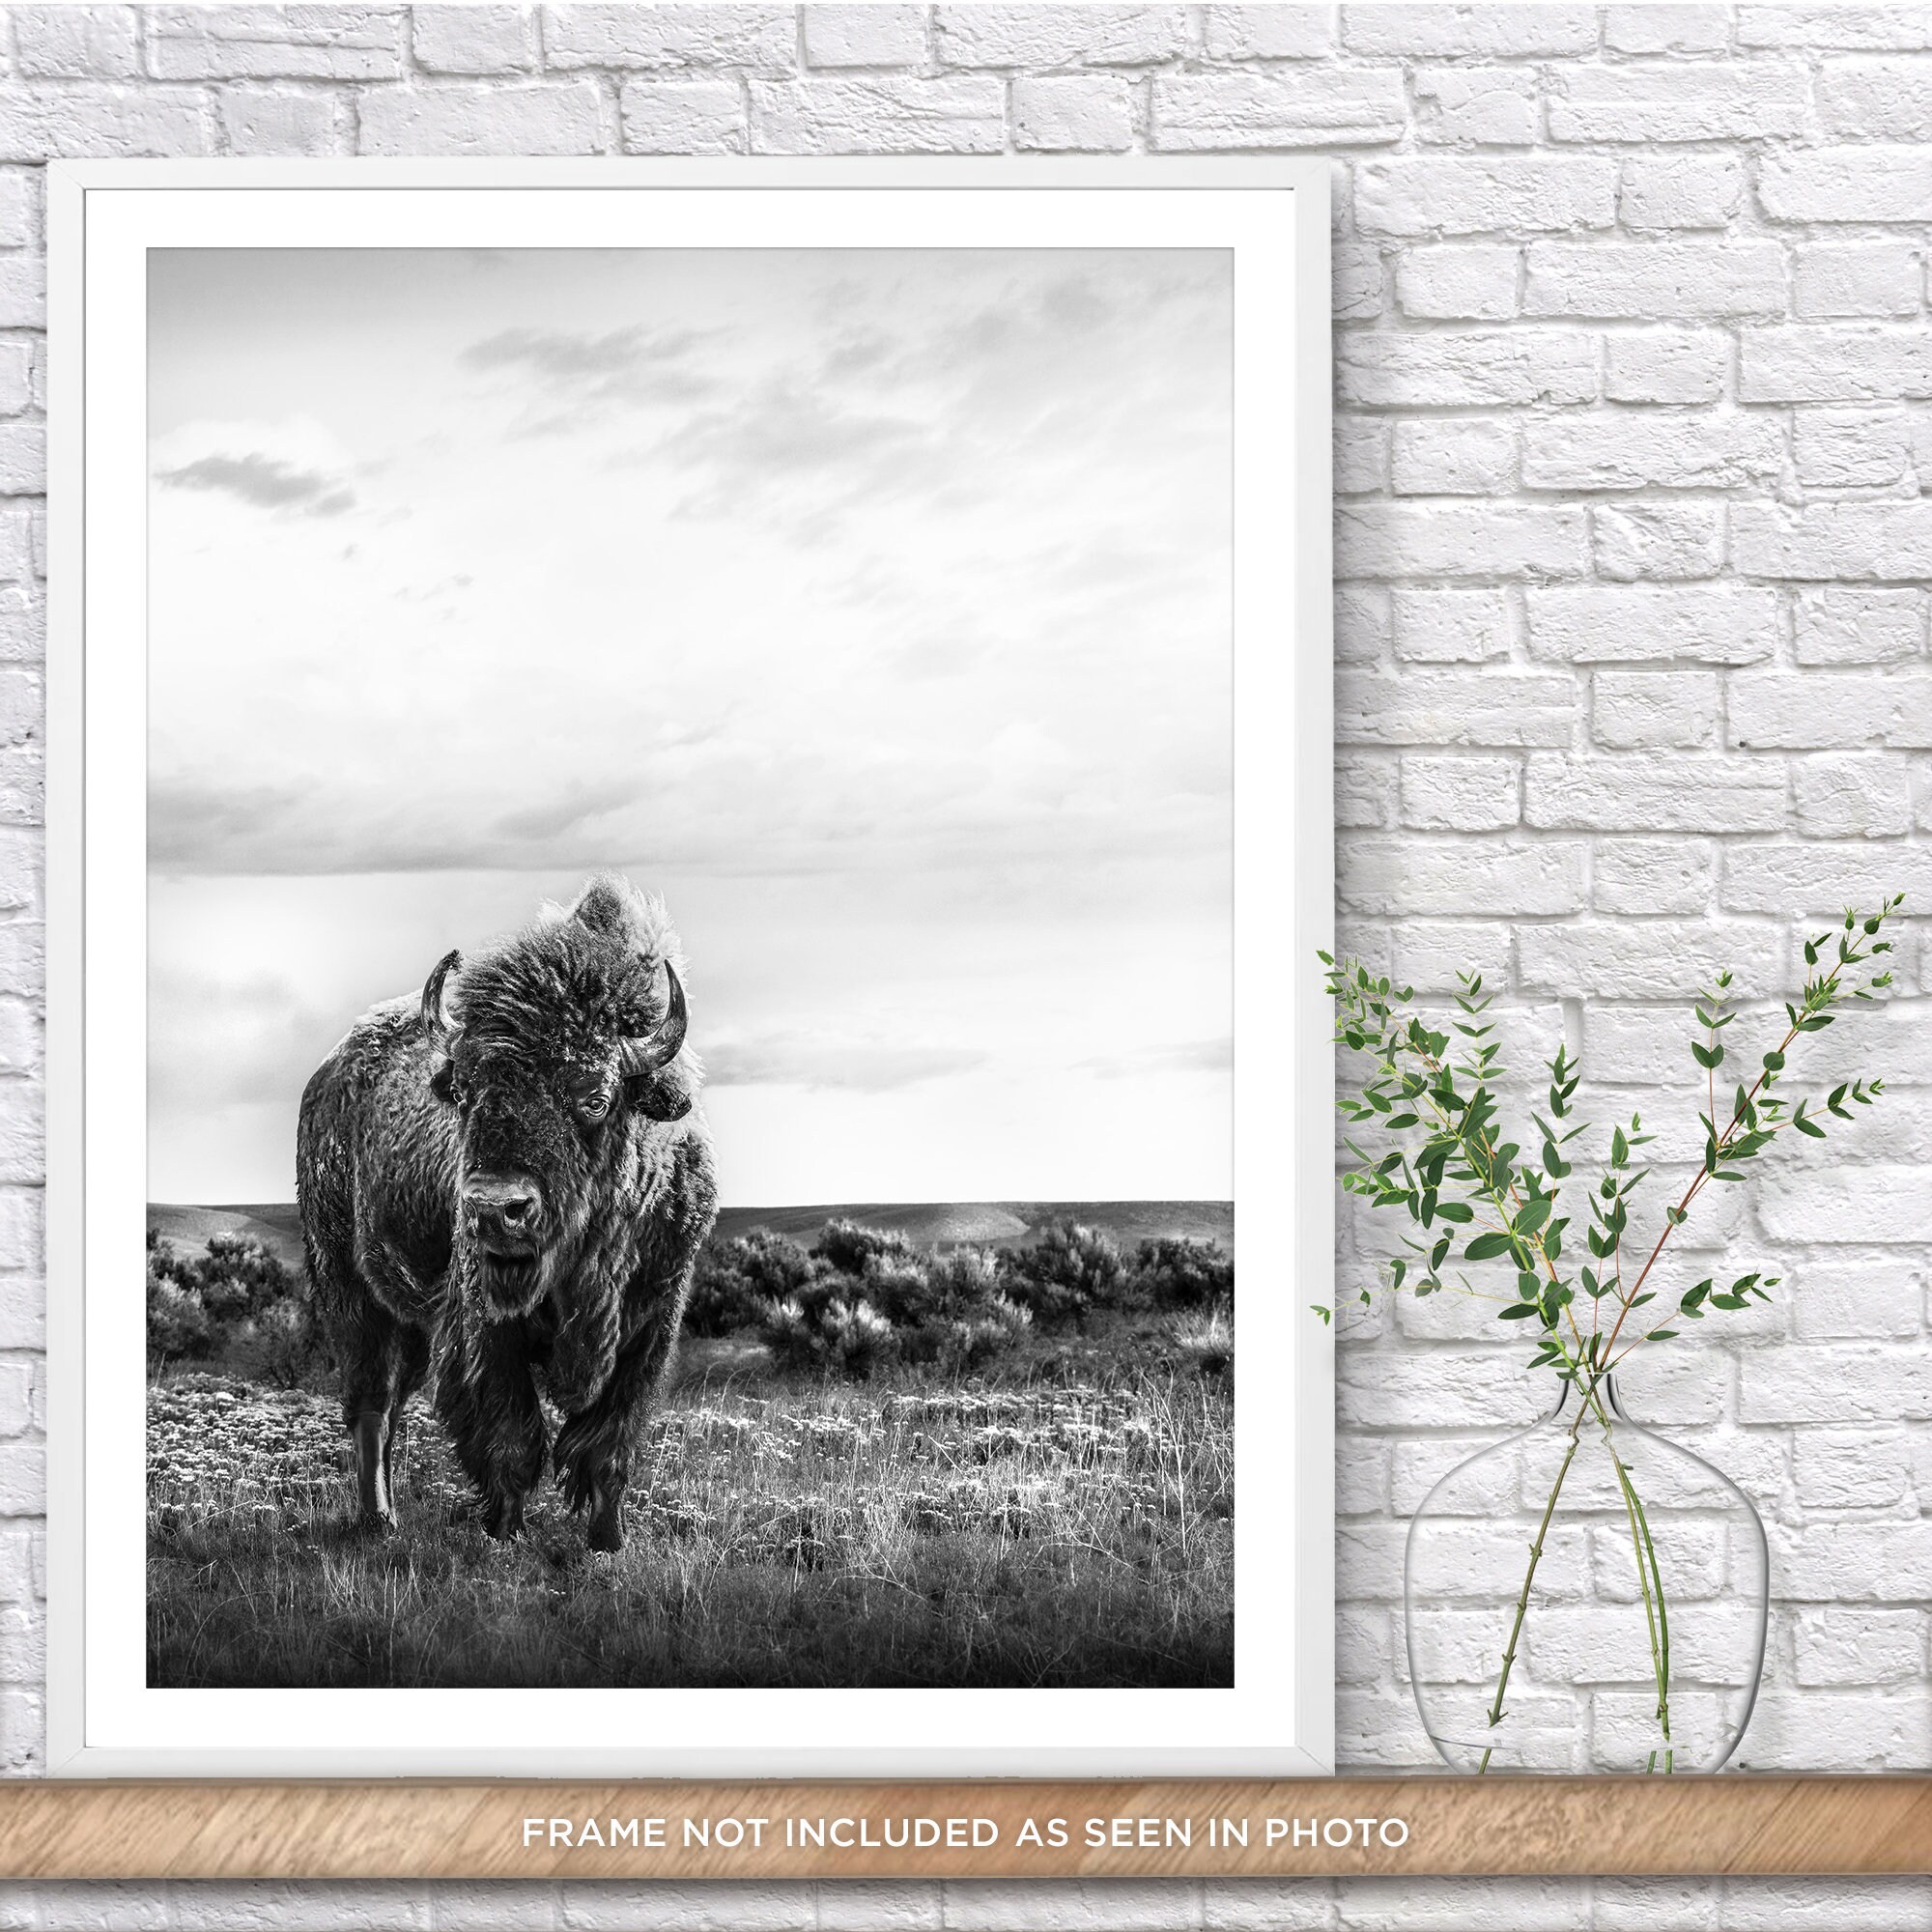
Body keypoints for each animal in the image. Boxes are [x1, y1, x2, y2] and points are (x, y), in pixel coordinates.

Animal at [296, 876, 718, 1551]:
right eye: (465, 1092)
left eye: (594, 1097)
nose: (496, 1209)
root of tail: (325, 1077)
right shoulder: (488, 1326)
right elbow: (511, 1435)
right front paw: (503, 1535)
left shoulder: (652, 1324)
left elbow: (610, 1445)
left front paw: (607, 1543)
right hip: (348, 1290)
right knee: (370, 1404)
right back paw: (377, 1520)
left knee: (390, 1406)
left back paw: (388, 1518)